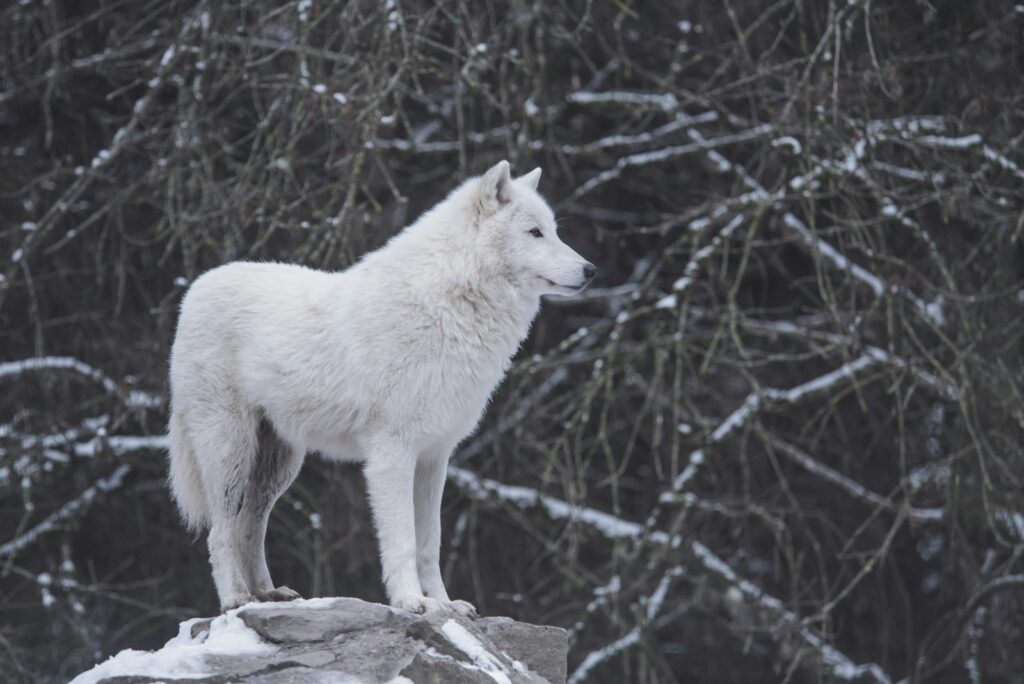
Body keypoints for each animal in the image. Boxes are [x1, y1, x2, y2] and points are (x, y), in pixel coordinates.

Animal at [167, 161, 595, 614]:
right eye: (535, 232)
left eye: (555, 230)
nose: (591, 270)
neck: (448, 306)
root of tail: (195, 289)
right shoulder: (392, 454)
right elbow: (403, 540)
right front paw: (411, 602)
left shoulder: (435, 457)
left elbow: (430, 543)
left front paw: (445, 605)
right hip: (230, 453)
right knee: (221, 532)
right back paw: (235, 598)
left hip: (279, 465)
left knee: (251, 526)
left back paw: (268, 594)